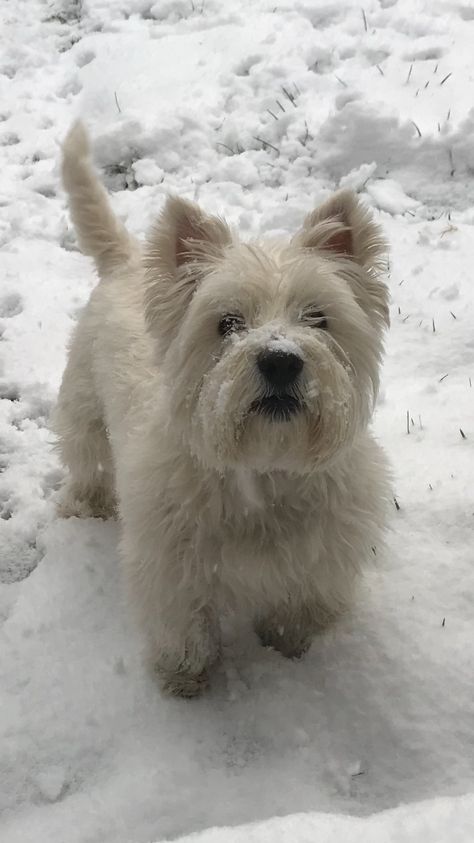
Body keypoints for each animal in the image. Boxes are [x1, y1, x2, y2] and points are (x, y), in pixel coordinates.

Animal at [53, 120, 390, 700]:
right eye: (227, 322)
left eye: (319, 317)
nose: (280, 360)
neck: (266, 469)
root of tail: (127, 260)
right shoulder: (171, 567)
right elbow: (182, 630)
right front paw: (185, 682)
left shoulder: (320, 562)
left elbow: (299, 612)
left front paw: (286, 650)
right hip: (83, 402)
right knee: (87, 458)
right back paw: (85, 505)